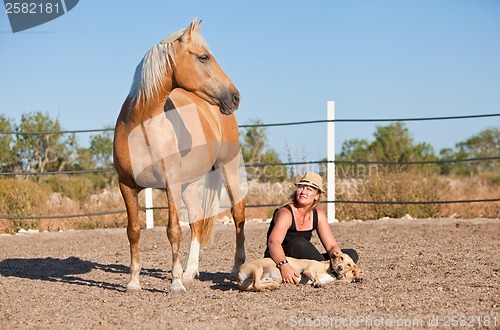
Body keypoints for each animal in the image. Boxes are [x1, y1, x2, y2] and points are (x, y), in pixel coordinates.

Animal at [113, 18, 246, 292]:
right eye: (204, 57)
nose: (235, 96)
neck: (143, 127)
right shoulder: (127, 186)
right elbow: (134, 231)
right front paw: (133, 282)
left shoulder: (170, 184)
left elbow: (173, 230)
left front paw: (174, 283)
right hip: (189, 184)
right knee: (196, 220)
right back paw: (190, 271)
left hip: (227, 168)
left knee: (238, 212)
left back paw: (236, 268)